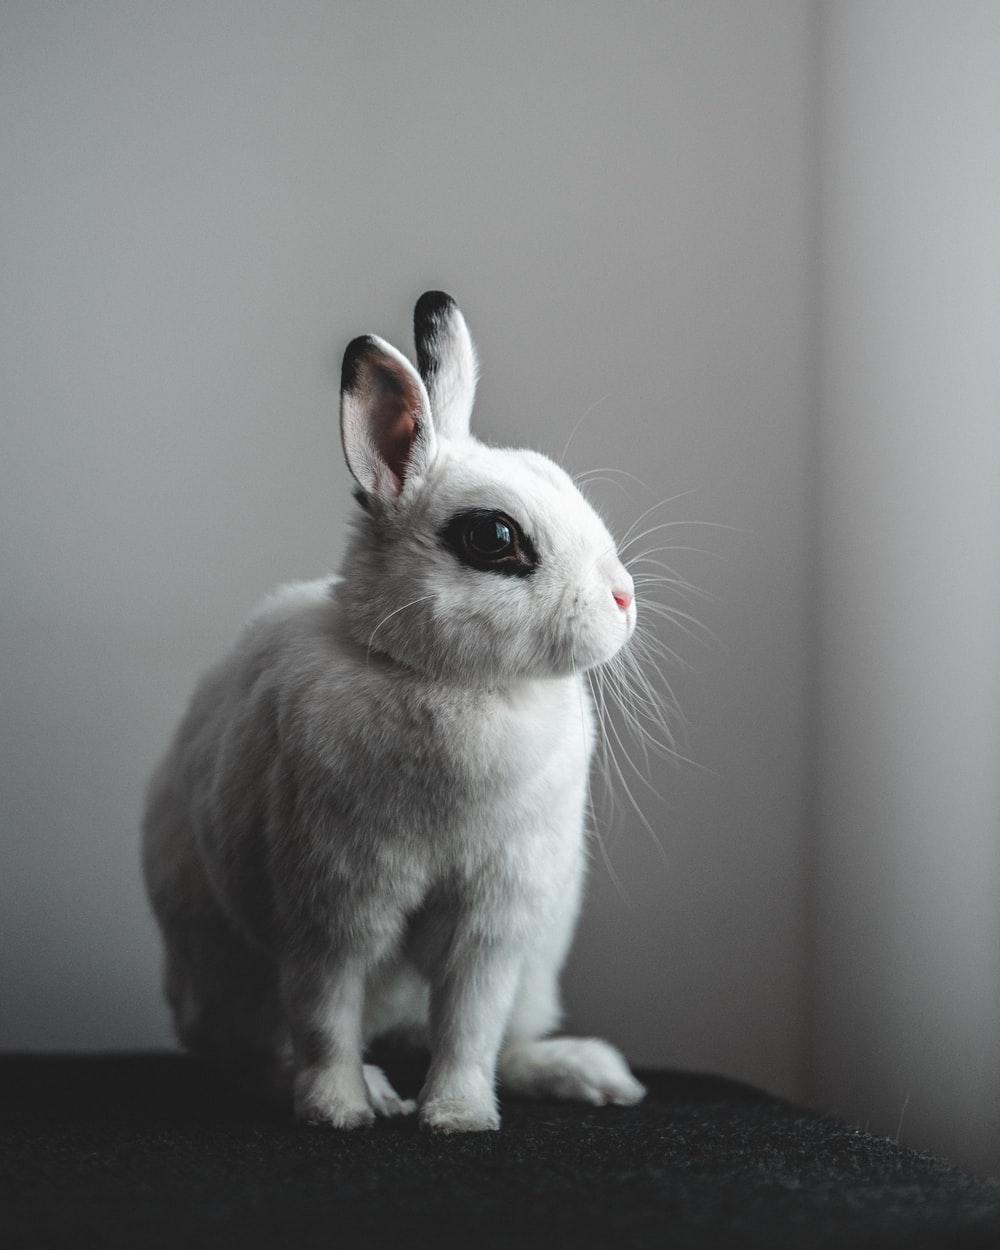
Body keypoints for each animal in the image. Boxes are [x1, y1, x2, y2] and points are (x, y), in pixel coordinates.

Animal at [142, 291, 646, 1133]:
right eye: (494, 535)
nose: (623, 599)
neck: (449, 680)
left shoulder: (494, 924)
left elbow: (470, 1025)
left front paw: (458, 1117)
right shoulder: (331, 908)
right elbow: (325, 1018)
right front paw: (339, 1113)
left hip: (537, 968)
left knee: (508, 1036)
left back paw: (588, 1073)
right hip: (229, 980)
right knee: (254, 1055)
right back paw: (368, 1089)